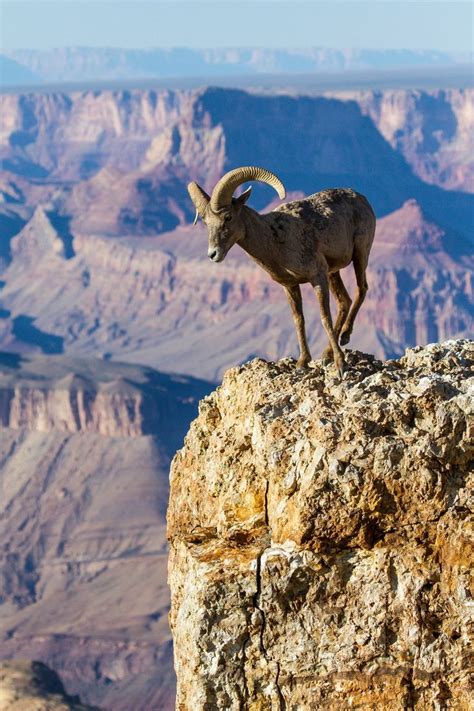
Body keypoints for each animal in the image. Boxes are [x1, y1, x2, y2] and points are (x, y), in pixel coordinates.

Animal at [187, 168, 376, 378]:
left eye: (228, 217)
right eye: (205, 222)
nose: (213, 254)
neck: (275, 240)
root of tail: (361, 198)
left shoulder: (317, 278)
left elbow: (324, 317)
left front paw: (341, 365)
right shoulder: (290, 285)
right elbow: (298, 320)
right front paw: (302, 363)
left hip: (360, 254)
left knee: (361, 289)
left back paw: (344, 337)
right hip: (333, 273)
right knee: (344, 301)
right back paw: (327, 353)